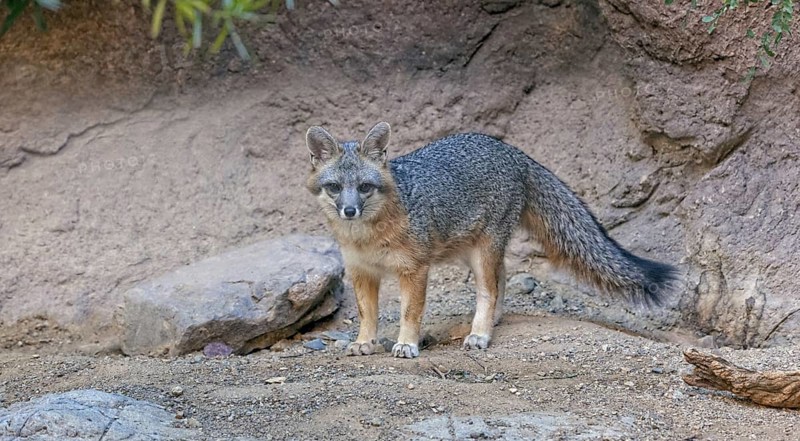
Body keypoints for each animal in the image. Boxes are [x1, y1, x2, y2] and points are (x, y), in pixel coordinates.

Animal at [305, 122, 676, 359]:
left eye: (365, 187)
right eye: (335, 187)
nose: (349, 210)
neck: (367, 237)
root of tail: (512, 151)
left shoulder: (415, 269)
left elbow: (410, 312)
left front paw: (407, 344)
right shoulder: (362, 272)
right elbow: (367, 314)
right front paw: (364, 342)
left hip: (482, 251)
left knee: (490, 288)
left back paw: (480, 333)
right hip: (468, 251)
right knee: (502, 277)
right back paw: (492, 320)